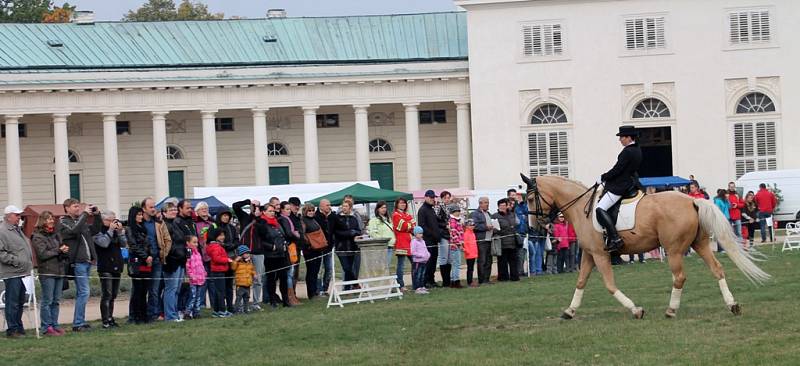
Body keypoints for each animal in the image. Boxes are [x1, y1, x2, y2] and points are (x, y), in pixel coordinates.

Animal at [520, 173, 768, 318]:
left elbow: (609, 285)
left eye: (530, 199)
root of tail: (692, 200)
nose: (534, 227)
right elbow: (580, 282)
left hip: (674, 249)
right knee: (717, 269)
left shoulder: (600, 254)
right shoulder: (589, 254)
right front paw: (569, 311)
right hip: (699, 244)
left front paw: (636, 309)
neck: (582, 207)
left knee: (679, 277)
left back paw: (671, 310)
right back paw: (732, 305)